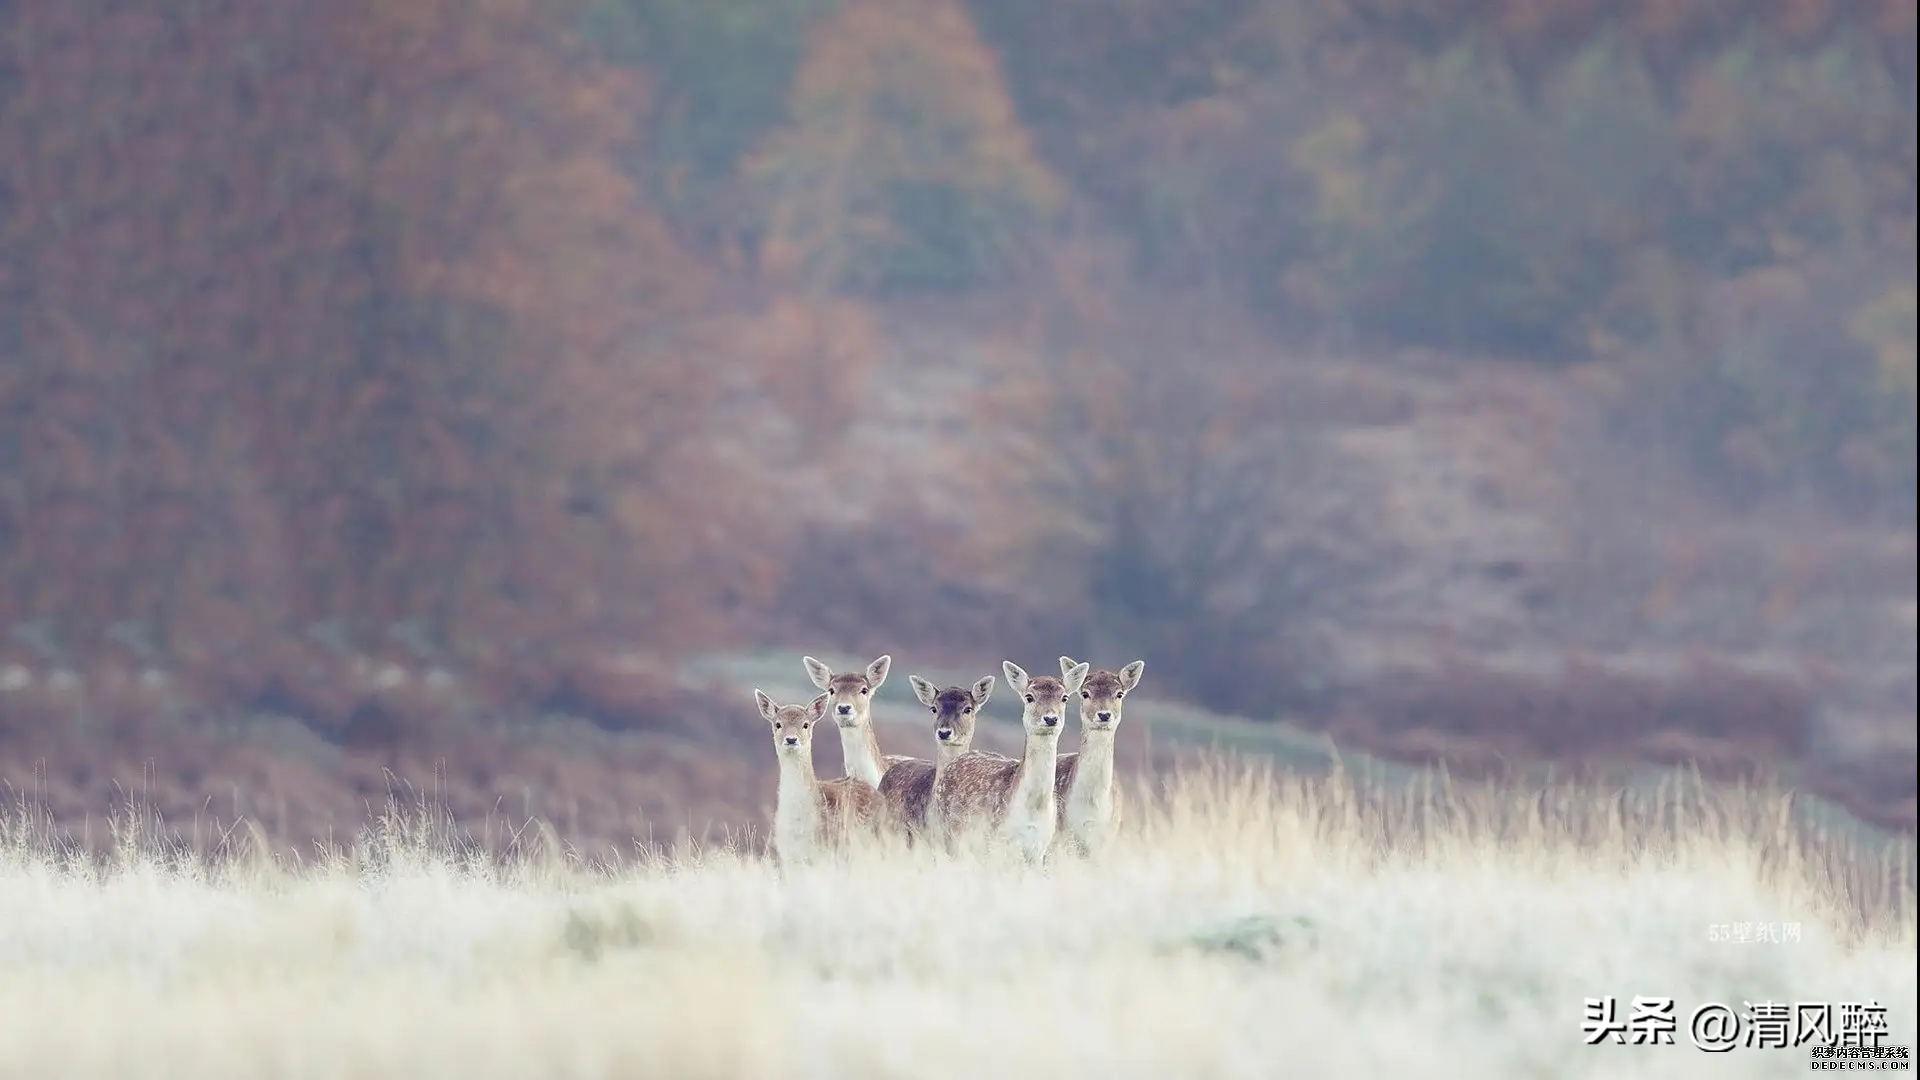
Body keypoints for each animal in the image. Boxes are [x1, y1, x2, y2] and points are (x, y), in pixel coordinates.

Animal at [933, 653, 1090, 860]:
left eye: (1064, 697)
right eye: (1029, 697)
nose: (1050, 718)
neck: (1033, 809)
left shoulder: (1040, 847)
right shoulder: (997, 839)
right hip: (947, 832)